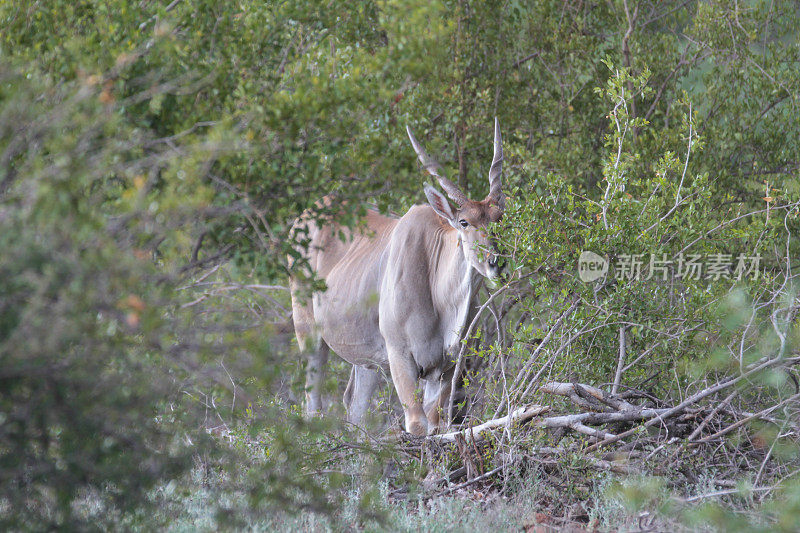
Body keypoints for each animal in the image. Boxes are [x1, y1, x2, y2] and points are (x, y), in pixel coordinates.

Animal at [290, 118, 506, 434]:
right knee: (312, 404)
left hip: (365, 360)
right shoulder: (400, 356)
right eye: (464, 222)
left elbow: (434, 424)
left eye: (500, 218)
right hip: (309, 335)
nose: (495, 263)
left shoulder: (443, 369)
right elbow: (416, 425)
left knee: (354, 405)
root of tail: (303, 218)